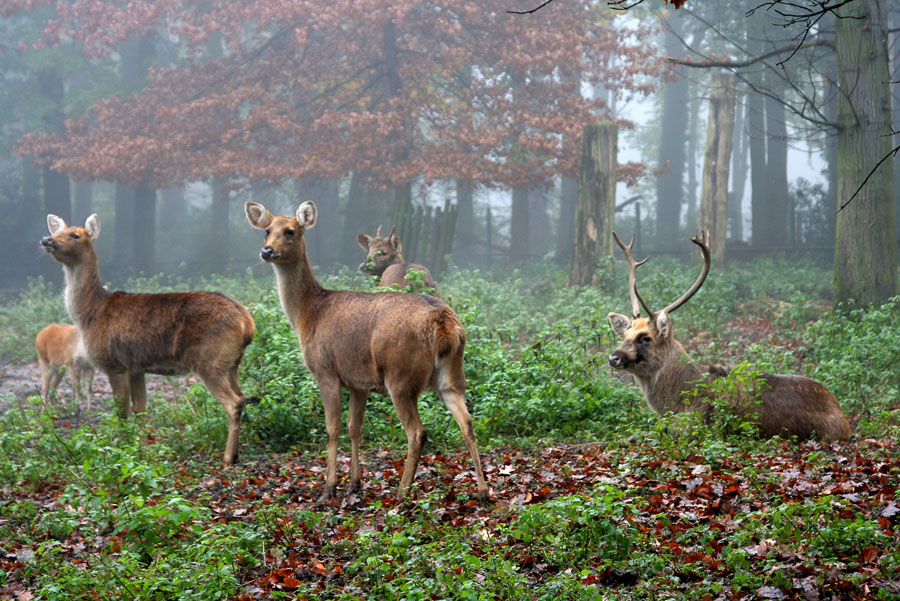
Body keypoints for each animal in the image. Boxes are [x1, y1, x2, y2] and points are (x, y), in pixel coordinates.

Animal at [41, 214, 256, 464]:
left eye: (75, 235)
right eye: (57, 232)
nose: (47, 240)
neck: (90, 314)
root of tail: (247, 323)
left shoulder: (115, 364)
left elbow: (121, 412)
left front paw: (120, 451)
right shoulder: (137, 368)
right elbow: (141, 409)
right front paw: (142, 452)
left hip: (209, 360)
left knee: (234, 403)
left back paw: (228, 457)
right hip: (231, 363)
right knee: (243, 397)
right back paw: (237, 451)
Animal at [246, 199, 488, 500]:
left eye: (290, 231)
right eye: (266, 231)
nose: (267, 251)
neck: (308, 313)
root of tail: (443, 321)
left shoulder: (325, 370)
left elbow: (332, 428)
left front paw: (329, 488)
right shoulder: (357, 381)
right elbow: (354, 427)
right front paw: (354, 483)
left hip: (401, 375)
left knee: (417, 432)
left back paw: (402, 493)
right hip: (452, 375)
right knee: (467, 423)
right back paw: (482, 490)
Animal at [604, 230, 852, 440]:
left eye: (646, 337)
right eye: (625, 334)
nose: (613, 357)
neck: (677, 402)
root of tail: (844, 416)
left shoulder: (693, 428)